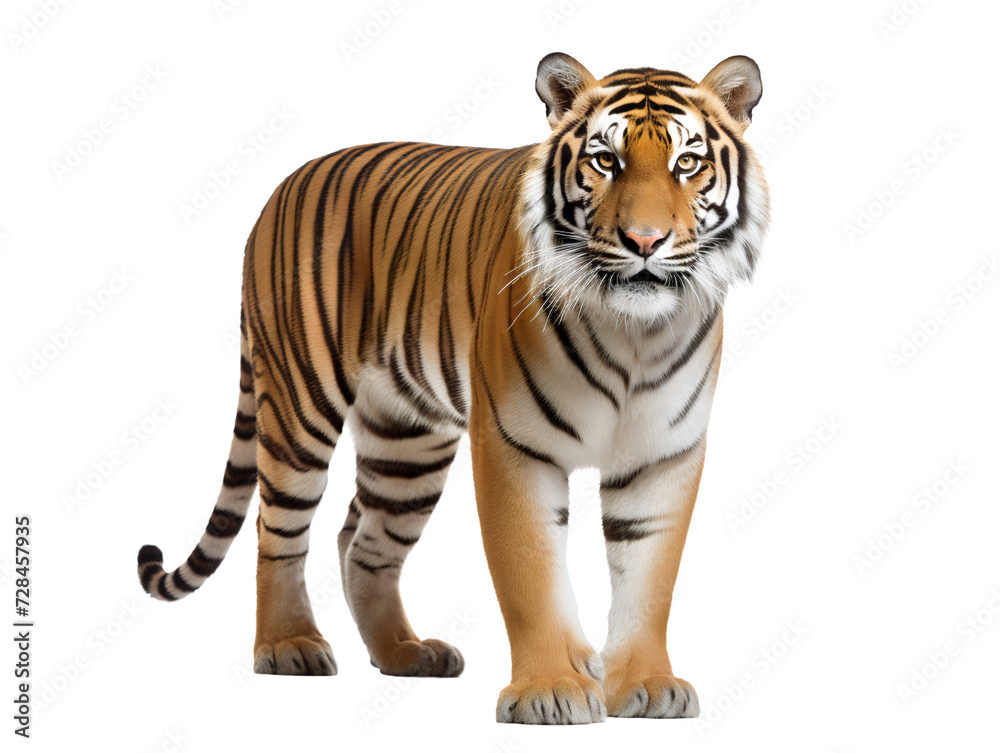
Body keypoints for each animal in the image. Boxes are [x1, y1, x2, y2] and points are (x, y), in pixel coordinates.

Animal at [135, 51, 769, 724]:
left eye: (687, 164)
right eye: (605, 161)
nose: (644, 241)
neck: (634, 334)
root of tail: (282, 187)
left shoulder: (663, 455)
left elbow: (650, 579)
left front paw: (647, 685)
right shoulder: (514, 447)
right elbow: (529, 573)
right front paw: (549, 690)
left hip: (406, 440)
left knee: (364, 542)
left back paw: (405, 652)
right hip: (299, 405)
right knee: (277, 529)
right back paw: (288, 645)